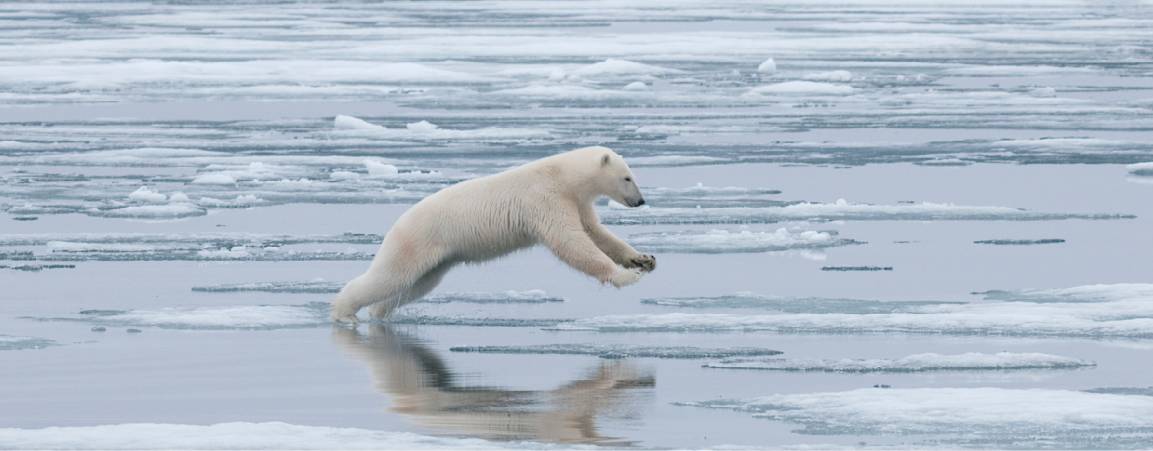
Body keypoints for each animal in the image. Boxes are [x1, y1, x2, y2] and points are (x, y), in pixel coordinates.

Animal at [334, 146, 659, 322]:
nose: (640, 201)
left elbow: (597, 233)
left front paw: (643, 259)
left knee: (415, 285)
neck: (562, 176)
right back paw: (344, 312)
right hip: (416, 240)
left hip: (437, 259)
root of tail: (398, 222)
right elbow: (570, 242)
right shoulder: (545, 199)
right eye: (628, 177)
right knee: (389, 277)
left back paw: (378, 312)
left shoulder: (576, 202)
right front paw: (626, 276)